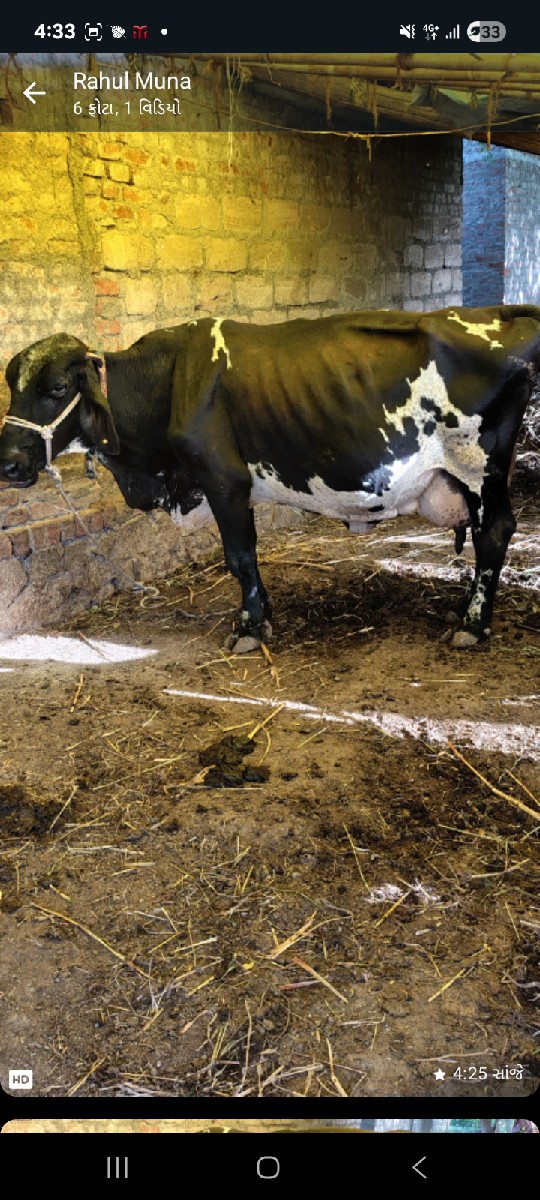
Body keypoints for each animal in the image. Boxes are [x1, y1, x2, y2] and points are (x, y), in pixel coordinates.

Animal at [0, 305, 538, 651]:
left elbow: (239, 557)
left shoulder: (223, 481)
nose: (8, 464)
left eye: (57, 388)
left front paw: (250, 628)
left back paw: (473, 624)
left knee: (494, 534)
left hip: (480, 466)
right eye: (12, 387)